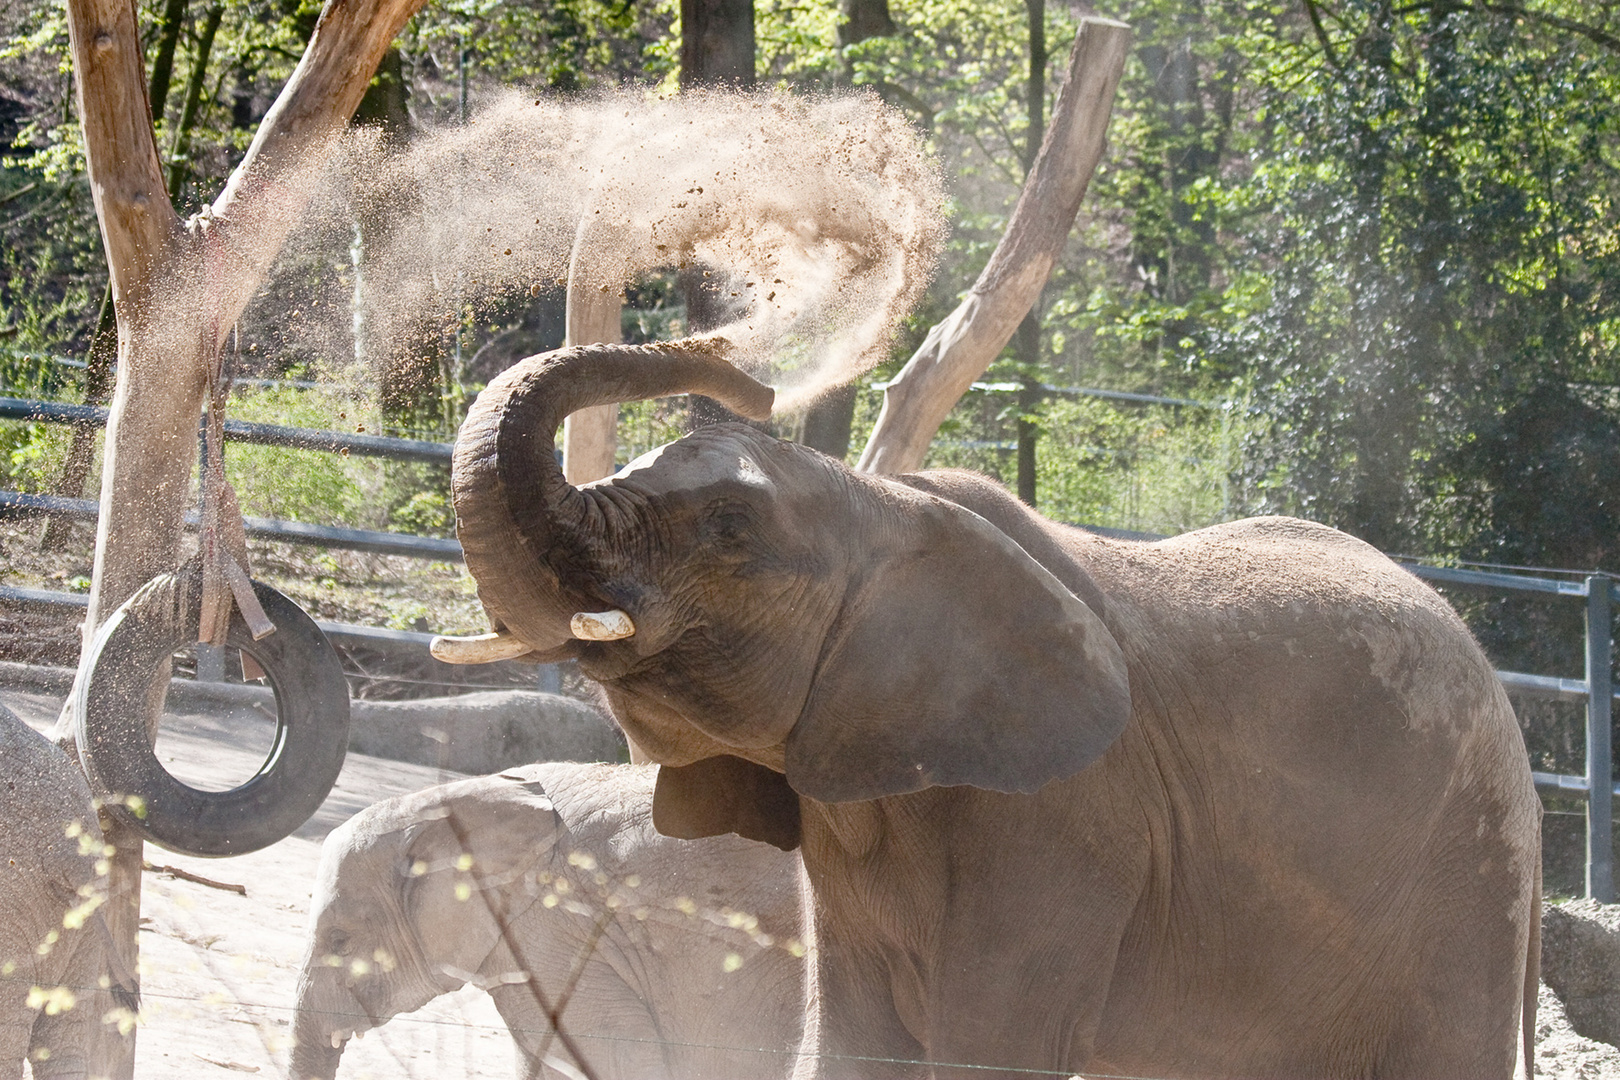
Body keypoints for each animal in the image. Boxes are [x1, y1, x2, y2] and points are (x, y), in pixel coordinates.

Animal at [434, 340, 1542, 1080]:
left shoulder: (1071, 819)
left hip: (1467, 879)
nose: (743, 371)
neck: (893, 506)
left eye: (732, 529)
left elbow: (986, 1048)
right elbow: (850, 1045)